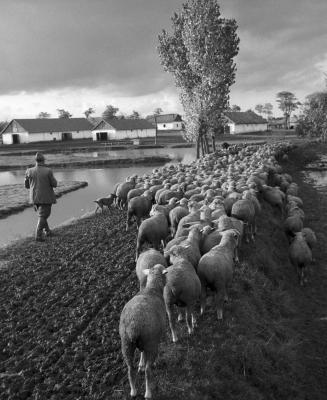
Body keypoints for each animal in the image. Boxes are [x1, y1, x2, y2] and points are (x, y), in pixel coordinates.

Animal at [119, 264, 168, 398]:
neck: (152, 289)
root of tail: (133, 328)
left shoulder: (144, 343)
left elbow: (142, 353)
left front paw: (140, 363)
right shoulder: (155, 338)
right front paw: (154, 362)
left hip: (126, 344)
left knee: (130, 369)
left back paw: (133, 391)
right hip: (150, 342)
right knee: (148, 370)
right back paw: (148, 393)